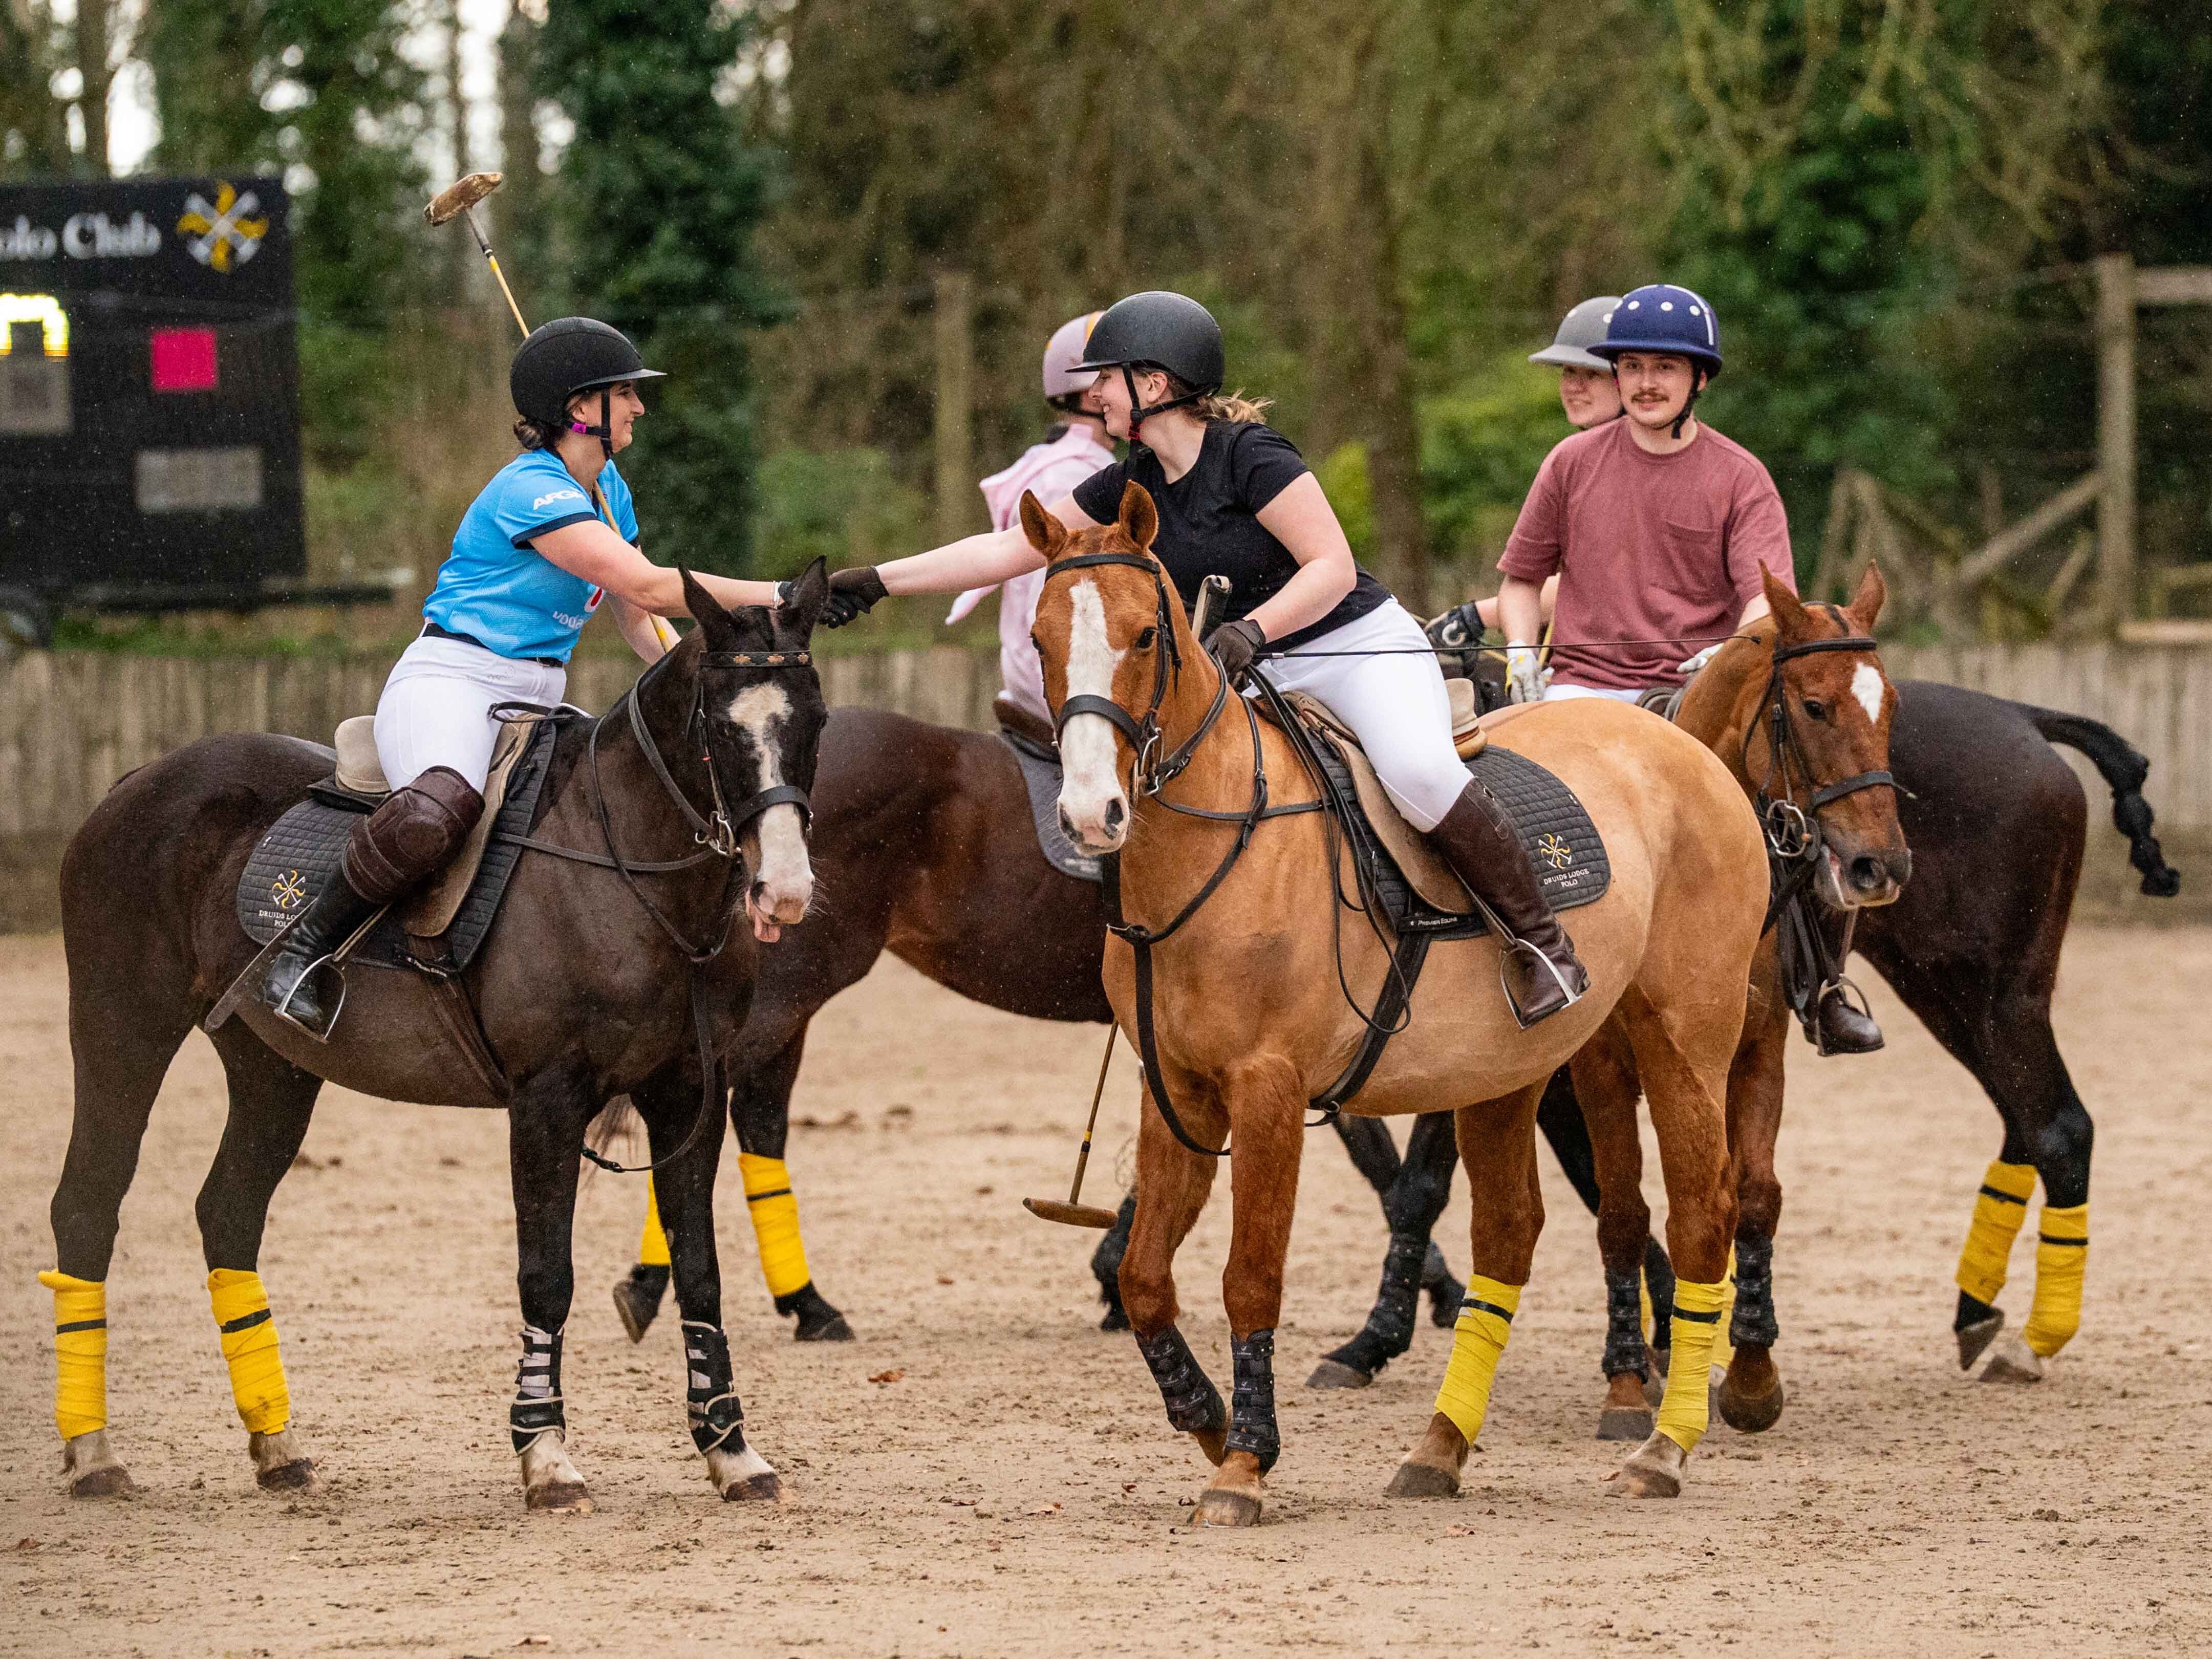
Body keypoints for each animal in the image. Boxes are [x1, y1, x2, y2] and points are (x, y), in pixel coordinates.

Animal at [40, 566, 828, 1512]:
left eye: (816, 719)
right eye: (719, 725)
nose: (785, 891)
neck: (635, 872)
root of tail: (134, 780)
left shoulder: (686, 1094)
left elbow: (701, 1267)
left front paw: (732, 1451)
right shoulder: (546, 1099)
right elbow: (546, 1273)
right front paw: (546, 1457)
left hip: (272, 1066)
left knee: (227, 1212)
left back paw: (277, 1445)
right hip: (122, 1025)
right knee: (88, 1204)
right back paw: (94, 1453)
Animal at [1031, 480, 1770, 1524]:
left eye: (1143, 635)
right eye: (1044, 639)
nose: (1091, 816)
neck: (1215, 844)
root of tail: (1681, 742)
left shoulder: (1267, 1088)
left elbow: (1251, 1277)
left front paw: (1244, 1462)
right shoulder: (1174, 1087)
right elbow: (1141, 1275)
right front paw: (1206, 1417)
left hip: (1681, 1037)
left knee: (1702, 1215)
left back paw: (1661, 1451)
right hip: (1507, 1070)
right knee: (1509, 1235)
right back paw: (1439, 1447)